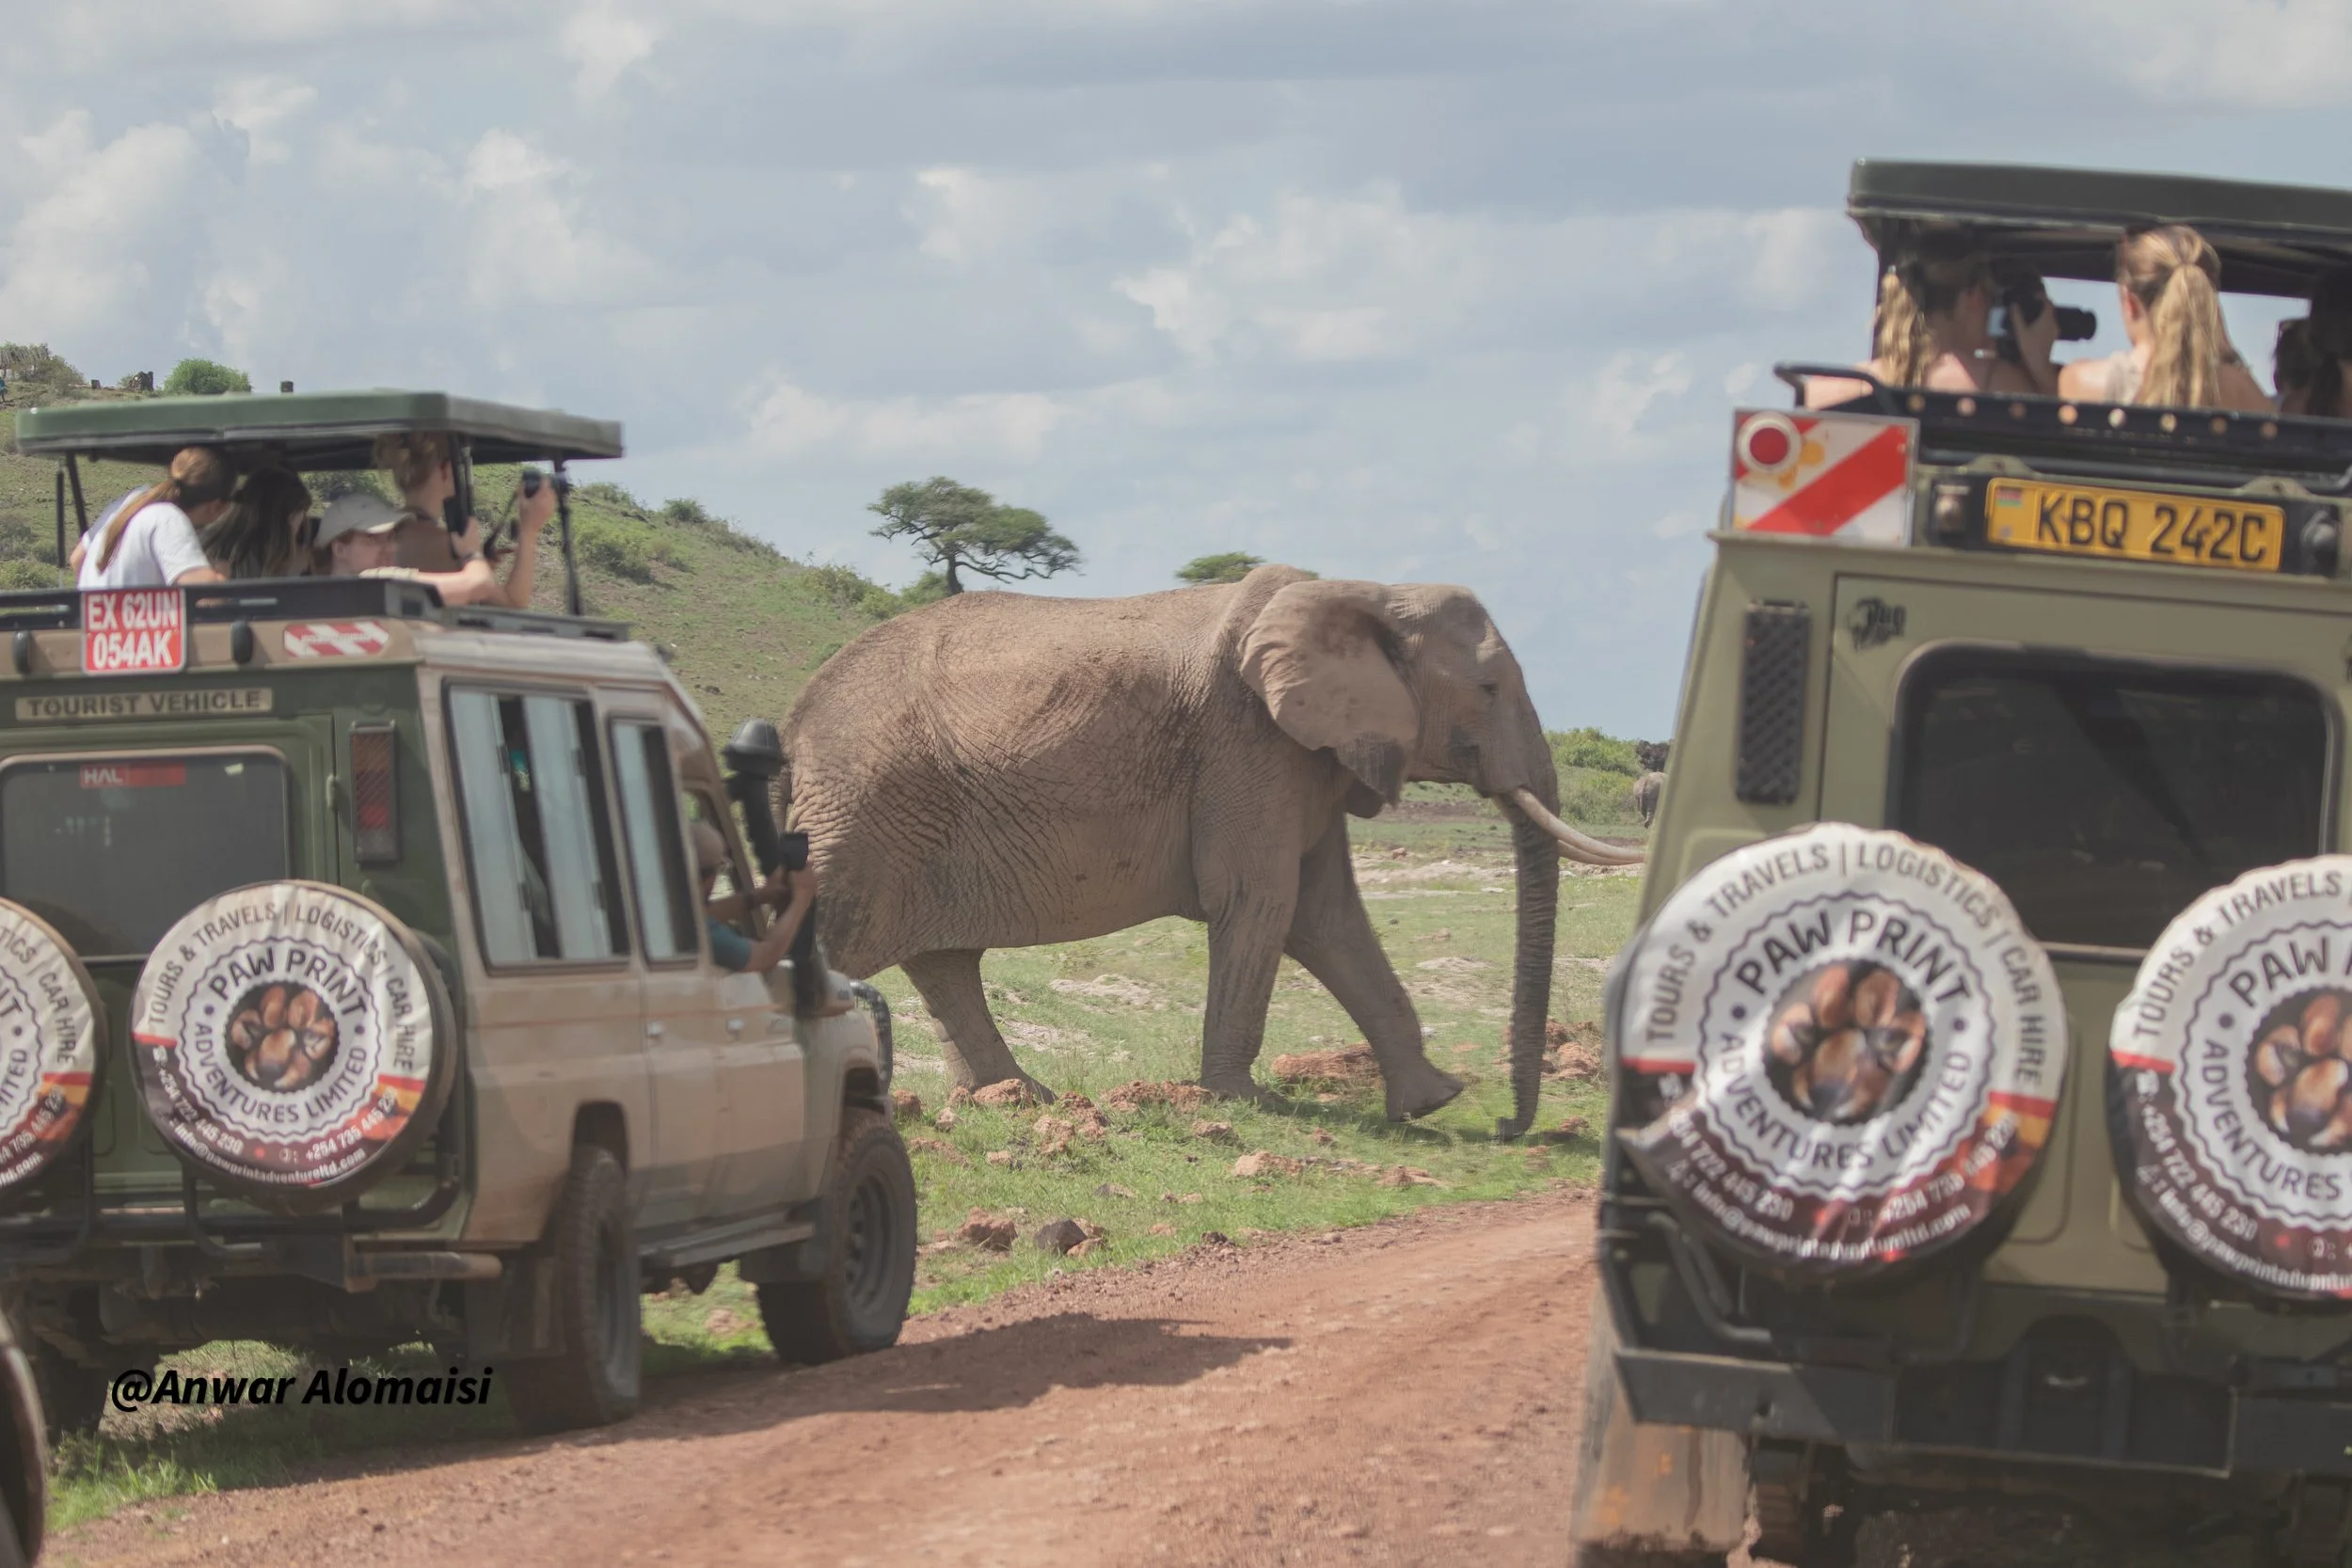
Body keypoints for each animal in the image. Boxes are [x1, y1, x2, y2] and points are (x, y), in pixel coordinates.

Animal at [778, 564, 1643, 1136]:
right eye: (1489, 688)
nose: (1508, 1128)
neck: (1364, 590)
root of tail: (794, 718)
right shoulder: (1249, 743)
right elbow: (1262, 901)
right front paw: (1242, 1101)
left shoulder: (1305, 758)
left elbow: (1328, 918)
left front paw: (1433, 1100)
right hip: (864, 803)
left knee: (945, 961)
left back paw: (1016, 1100)